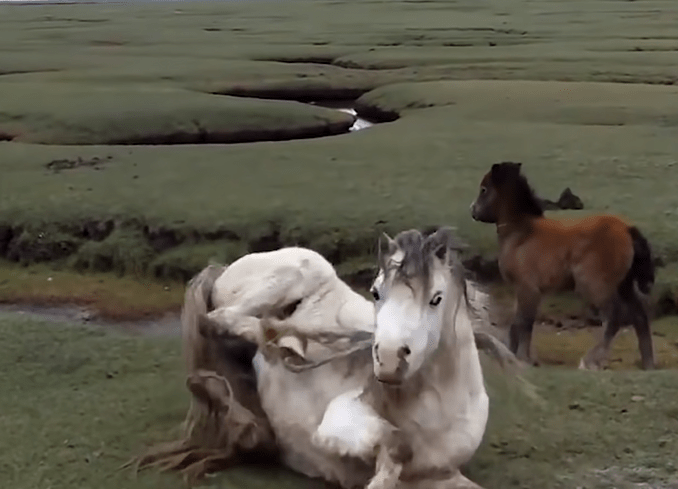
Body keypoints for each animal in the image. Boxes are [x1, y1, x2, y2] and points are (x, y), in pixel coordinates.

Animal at [138, 227, 520, 486]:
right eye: (375, 292)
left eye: (436, 298)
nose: (389, 360)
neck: (439, 410)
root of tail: (224, 268)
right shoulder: (338, 423)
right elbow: (397, 446)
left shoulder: (443, 476)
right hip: (301, 268)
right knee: (218, 320)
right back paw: (288, 345)